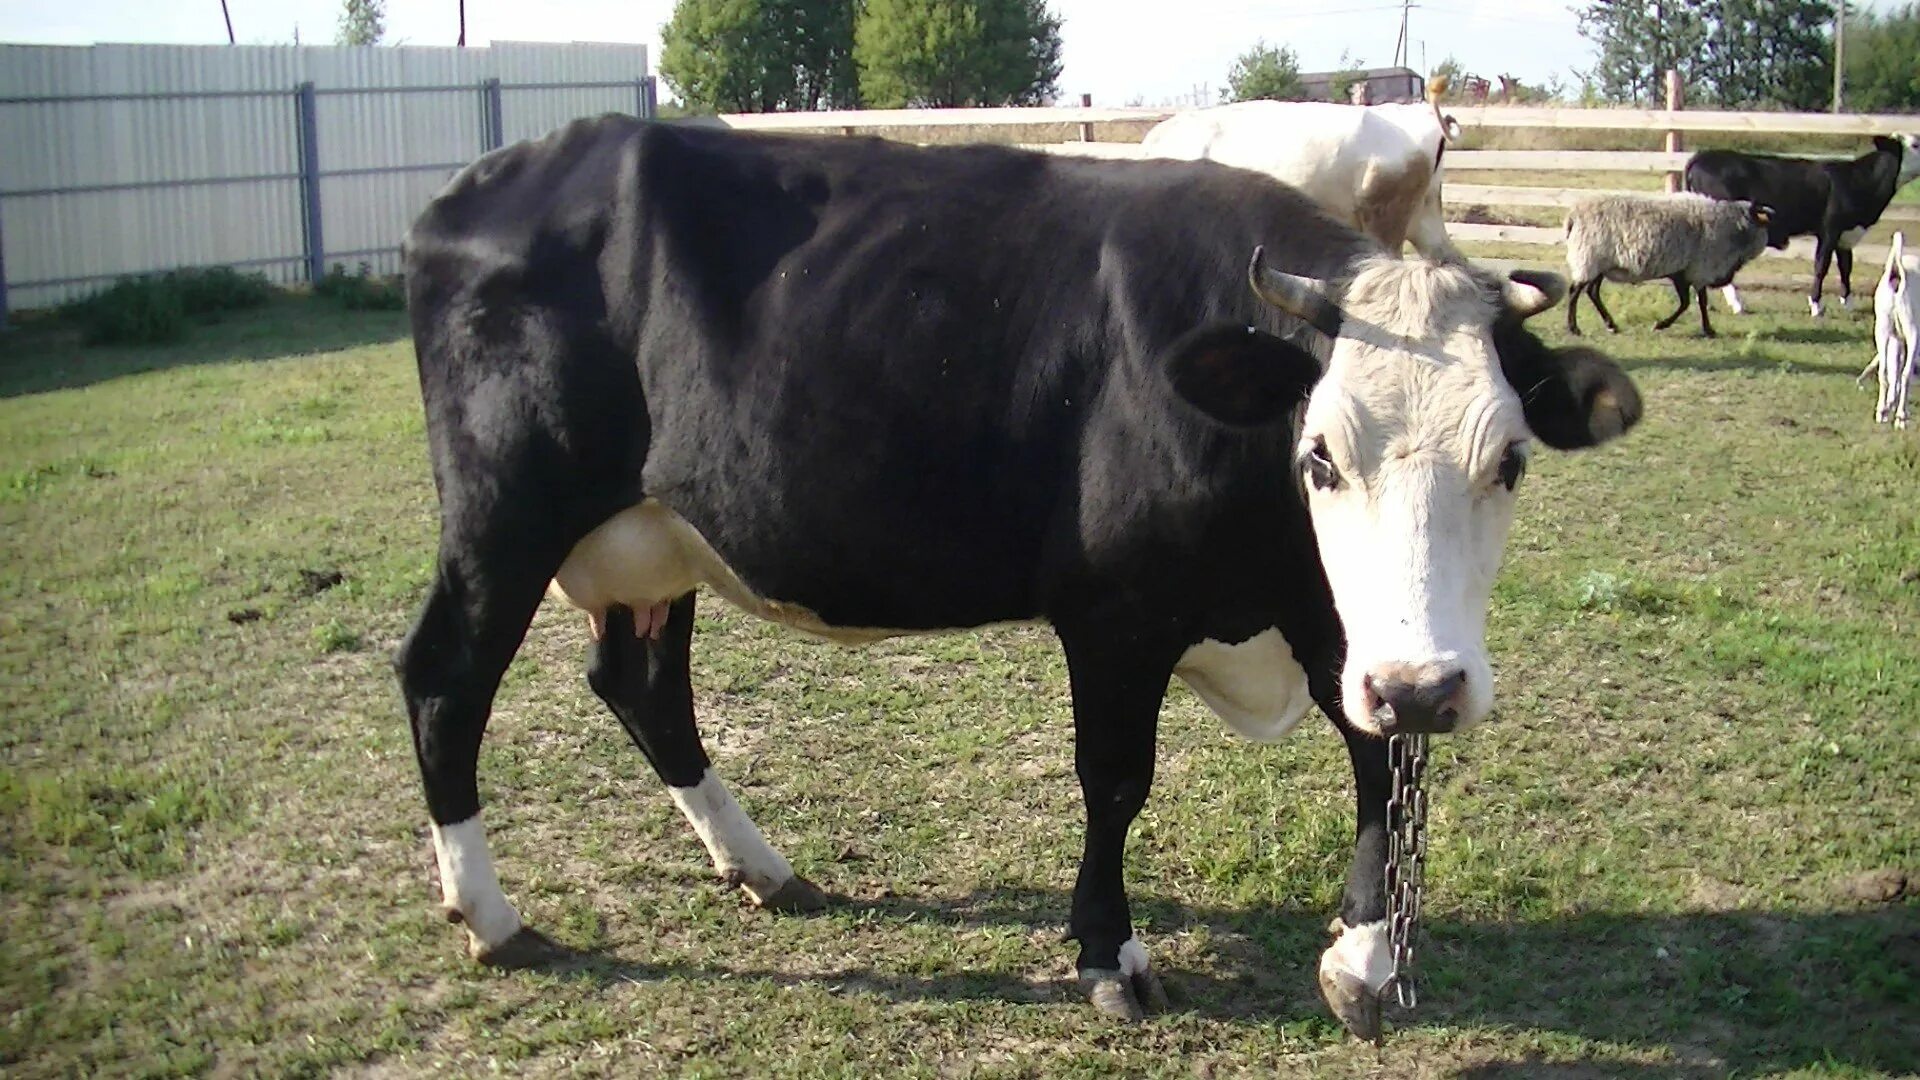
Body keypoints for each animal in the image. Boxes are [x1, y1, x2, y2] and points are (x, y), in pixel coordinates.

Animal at [397, 117, 1643, 1037]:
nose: (1429, 683)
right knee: (443, 683)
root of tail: (501, 175)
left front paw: (1366, 961)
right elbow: (1116, 781)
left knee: (645, 689)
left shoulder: (1345, 630)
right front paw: (1110, 953)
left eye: (1511, 459)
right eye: (1320, 454)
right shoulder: (1116, 612)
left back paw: (762, 868)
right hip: (507, 514)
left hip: (656, 540)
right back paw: (494, 916)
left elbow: (1384, 761)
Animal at [1559, 189, 1766, 332]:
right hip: (1588, 257)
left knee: (1592, 292)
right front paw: (1706, 330)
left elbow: (1688, 302)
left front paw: (1666, 325)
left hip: (1600, 263)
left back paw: (1611, 325)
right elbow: (1697, 302)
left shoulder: (1683, 272)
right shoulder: (1698, 269)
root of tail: (1573, 216)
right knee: (1575, 291)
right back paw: (1573, 328)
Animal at [1681, 132, 1920, 313]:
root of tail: (1702, 157)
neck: (1855, 180)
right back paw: (1737, 304)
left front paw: (1848, 304)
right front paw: (1816, 305)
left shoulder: (1845, 234)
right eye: (1916, 144)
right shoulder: (1829, 230)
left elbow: (1845, 267)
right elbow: (1821, 266)